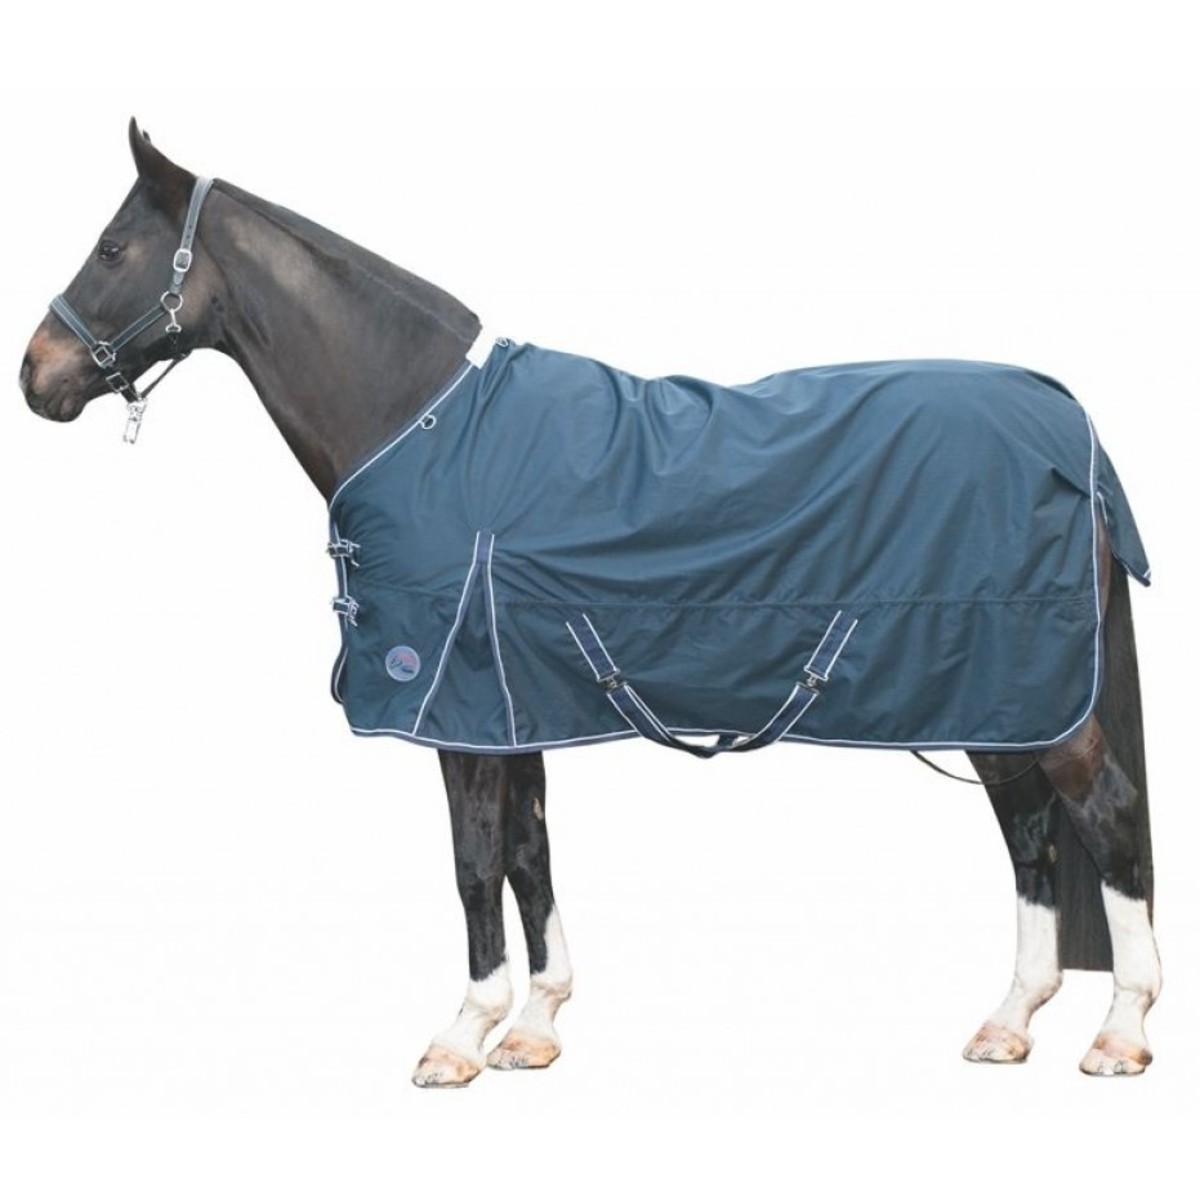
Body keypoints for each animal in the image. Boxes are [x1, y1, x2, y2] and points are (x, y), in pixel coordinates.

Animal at [19, 120, 1160, 1086]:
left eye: (112, 250)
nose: (36, 376)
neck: (420, 425)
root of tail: (1072, 427)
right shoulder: (512, 705)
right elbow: (529, 855)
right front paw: (535, 1025)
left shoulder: (456, 711)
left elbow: (474, 863)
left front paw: (460, 1037)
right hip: (997, 697)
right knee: (1029, 832)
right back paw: (1009, 1021)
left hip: (1028, 693)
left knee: (1105, 814)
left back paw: (1119, 1032)